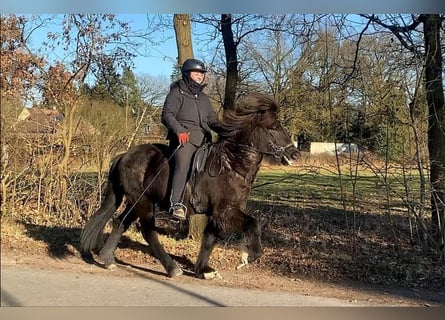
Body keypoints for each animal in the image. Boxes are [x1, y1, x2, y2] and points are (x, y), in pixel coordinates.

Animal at [80, 92, 298, 278]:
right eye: (274, 127)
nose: (295, 154)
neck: (232, 164)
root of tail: (124, 156)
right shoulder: (225, 211)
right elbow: (252, 223)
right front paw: (249, 255)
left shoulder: (217, 213)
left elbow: (209, 239)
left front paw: (203, 270)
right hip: (144, 202)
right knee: (148, 231)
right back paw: (172, 268)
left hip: (137, 202)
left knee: (121, 222)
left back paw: (108, 259)